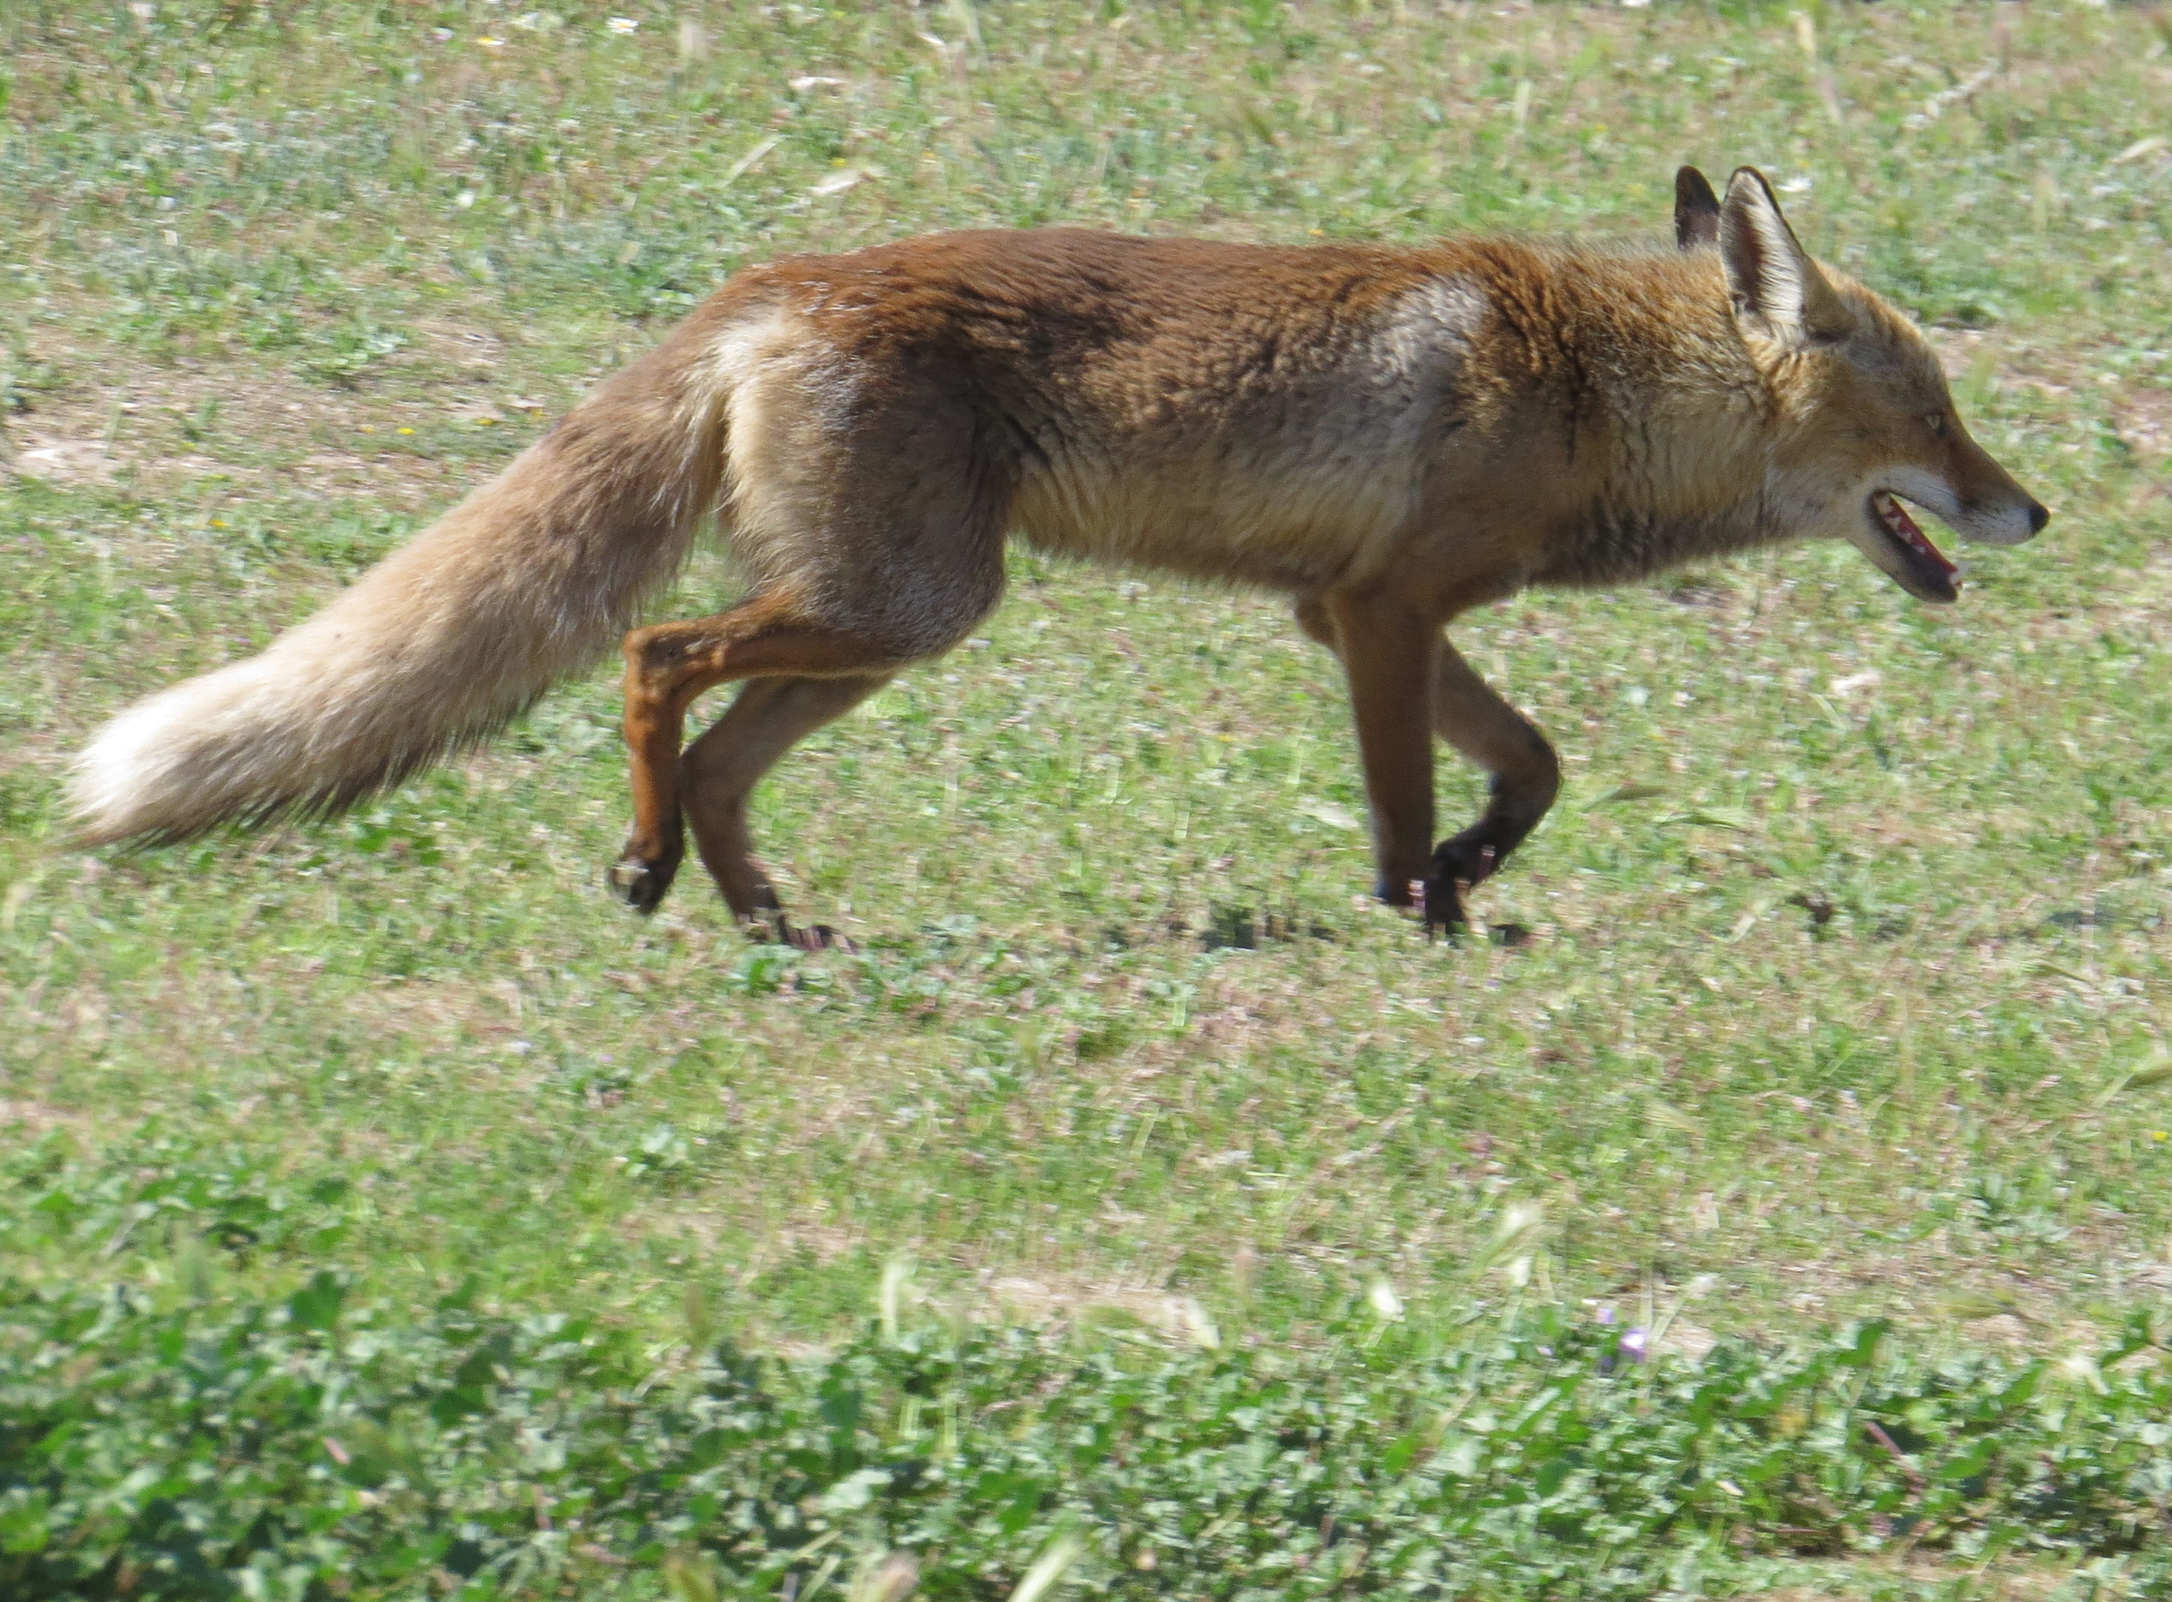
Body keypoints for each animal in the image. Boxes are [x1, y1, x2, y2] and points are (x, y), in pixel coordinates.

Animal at [69, 165, 2046, 945]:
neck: (1581, 385)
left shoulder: (1348, 611)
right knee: (652, 664)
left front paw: (1474, 876)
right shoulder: (1382, 610)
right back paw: (645, 873)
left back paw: (764, 921)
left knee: (718, 755)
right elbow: (1412, 798)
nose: (2031, 511)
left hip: (880, 631)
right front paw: (1423, 912)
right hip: (900, 604)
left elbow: (1535, 765)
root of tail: (776, 279)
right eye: (1940, 416)